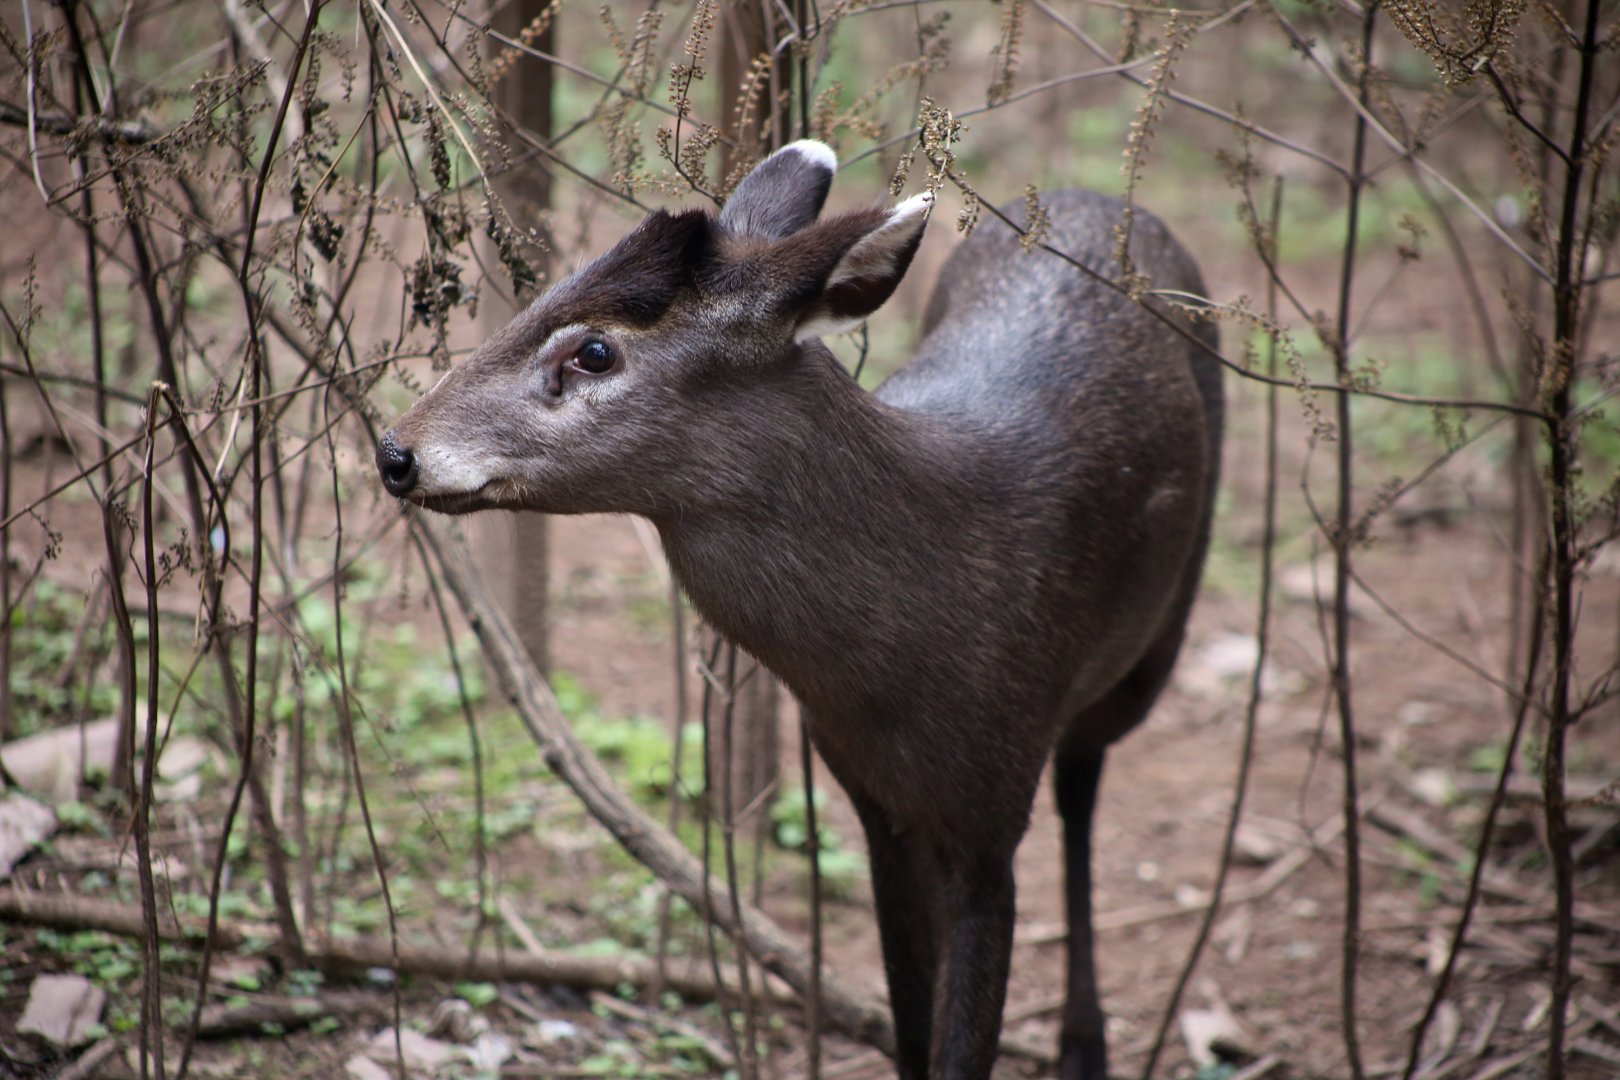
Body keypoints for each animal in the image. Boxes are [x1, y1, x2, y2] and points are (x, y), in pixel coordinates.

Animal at [377, 140, 1222, 1080]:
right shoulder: (867, 793)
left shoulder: (993, 805)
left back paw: (1085, 1043)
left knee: (1082, 785)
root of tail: (1093, 194)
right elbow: (912, 1028)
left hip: (1149, 648)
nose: (396, 451)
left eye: (593, 351)